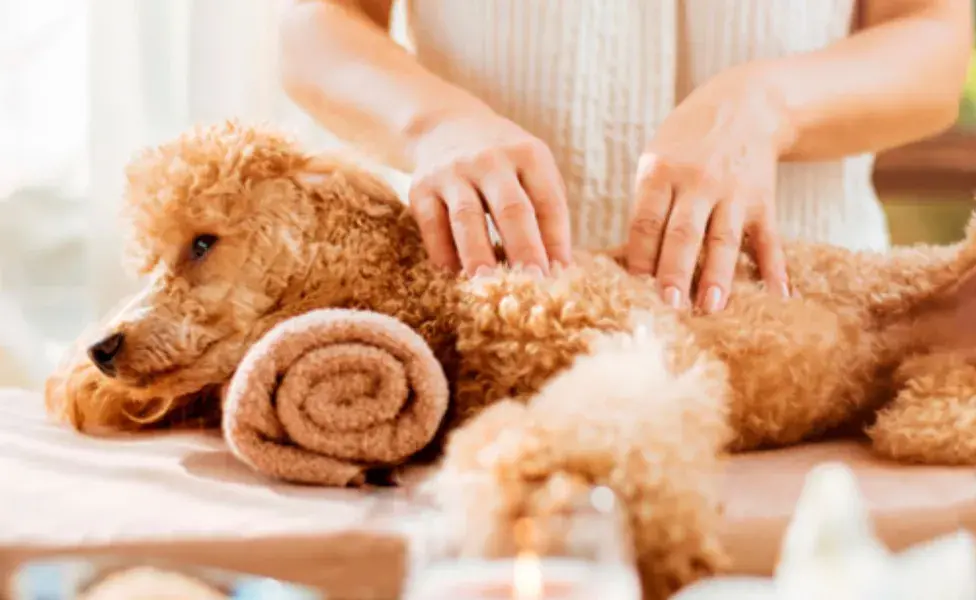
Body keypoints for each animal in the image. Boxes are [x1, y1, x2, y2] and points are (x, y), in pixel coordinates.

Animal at [43, 122, 976, 600]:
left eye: (201, 243)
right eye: (151, 257)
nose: (102, 346)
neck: (443, 294)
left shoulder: (637, 344)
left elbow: (600, 427)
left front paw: (552, 493)